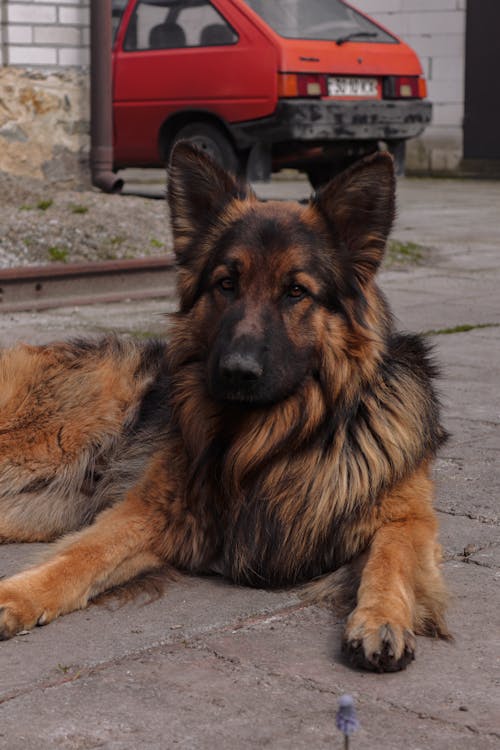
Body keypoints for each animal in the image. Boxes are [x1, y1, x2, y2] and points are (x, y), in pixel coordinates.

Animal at [0, 144, 450, 672]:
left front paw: (381, 619)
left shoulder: (407, 515)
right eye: (227, 283)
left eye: (296, 291)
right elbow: (78, 558)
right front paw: (17, 596)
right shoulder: (147, 512)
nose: (237, 371)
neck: (268, 442)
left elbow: (391, 555)